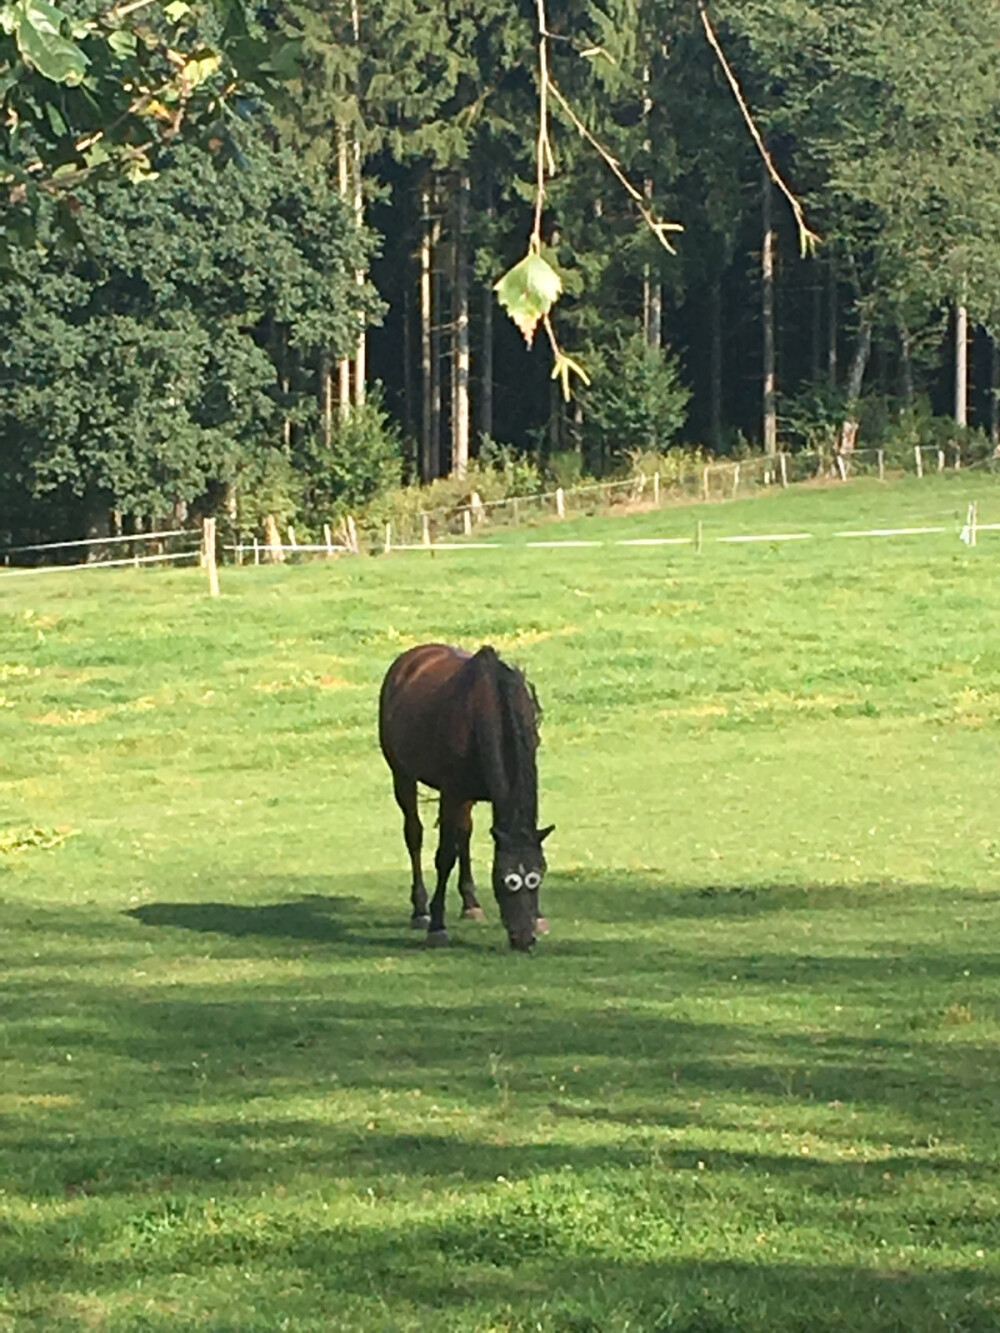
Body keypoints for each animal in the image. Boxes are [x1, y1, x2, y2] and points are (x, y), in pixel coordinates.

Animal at [381, 642, 557, 949]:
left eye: (538, 876)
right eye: (507, 880)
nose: (524, 939)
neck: (487, 706)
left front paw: (538, 917)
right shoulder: (453, 793)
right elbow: (444, 856)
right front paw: (437, 926)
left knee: (464, 834)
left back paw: (470, 903)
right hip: (403, 776)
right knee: (414, 834)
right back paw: (420, 910)